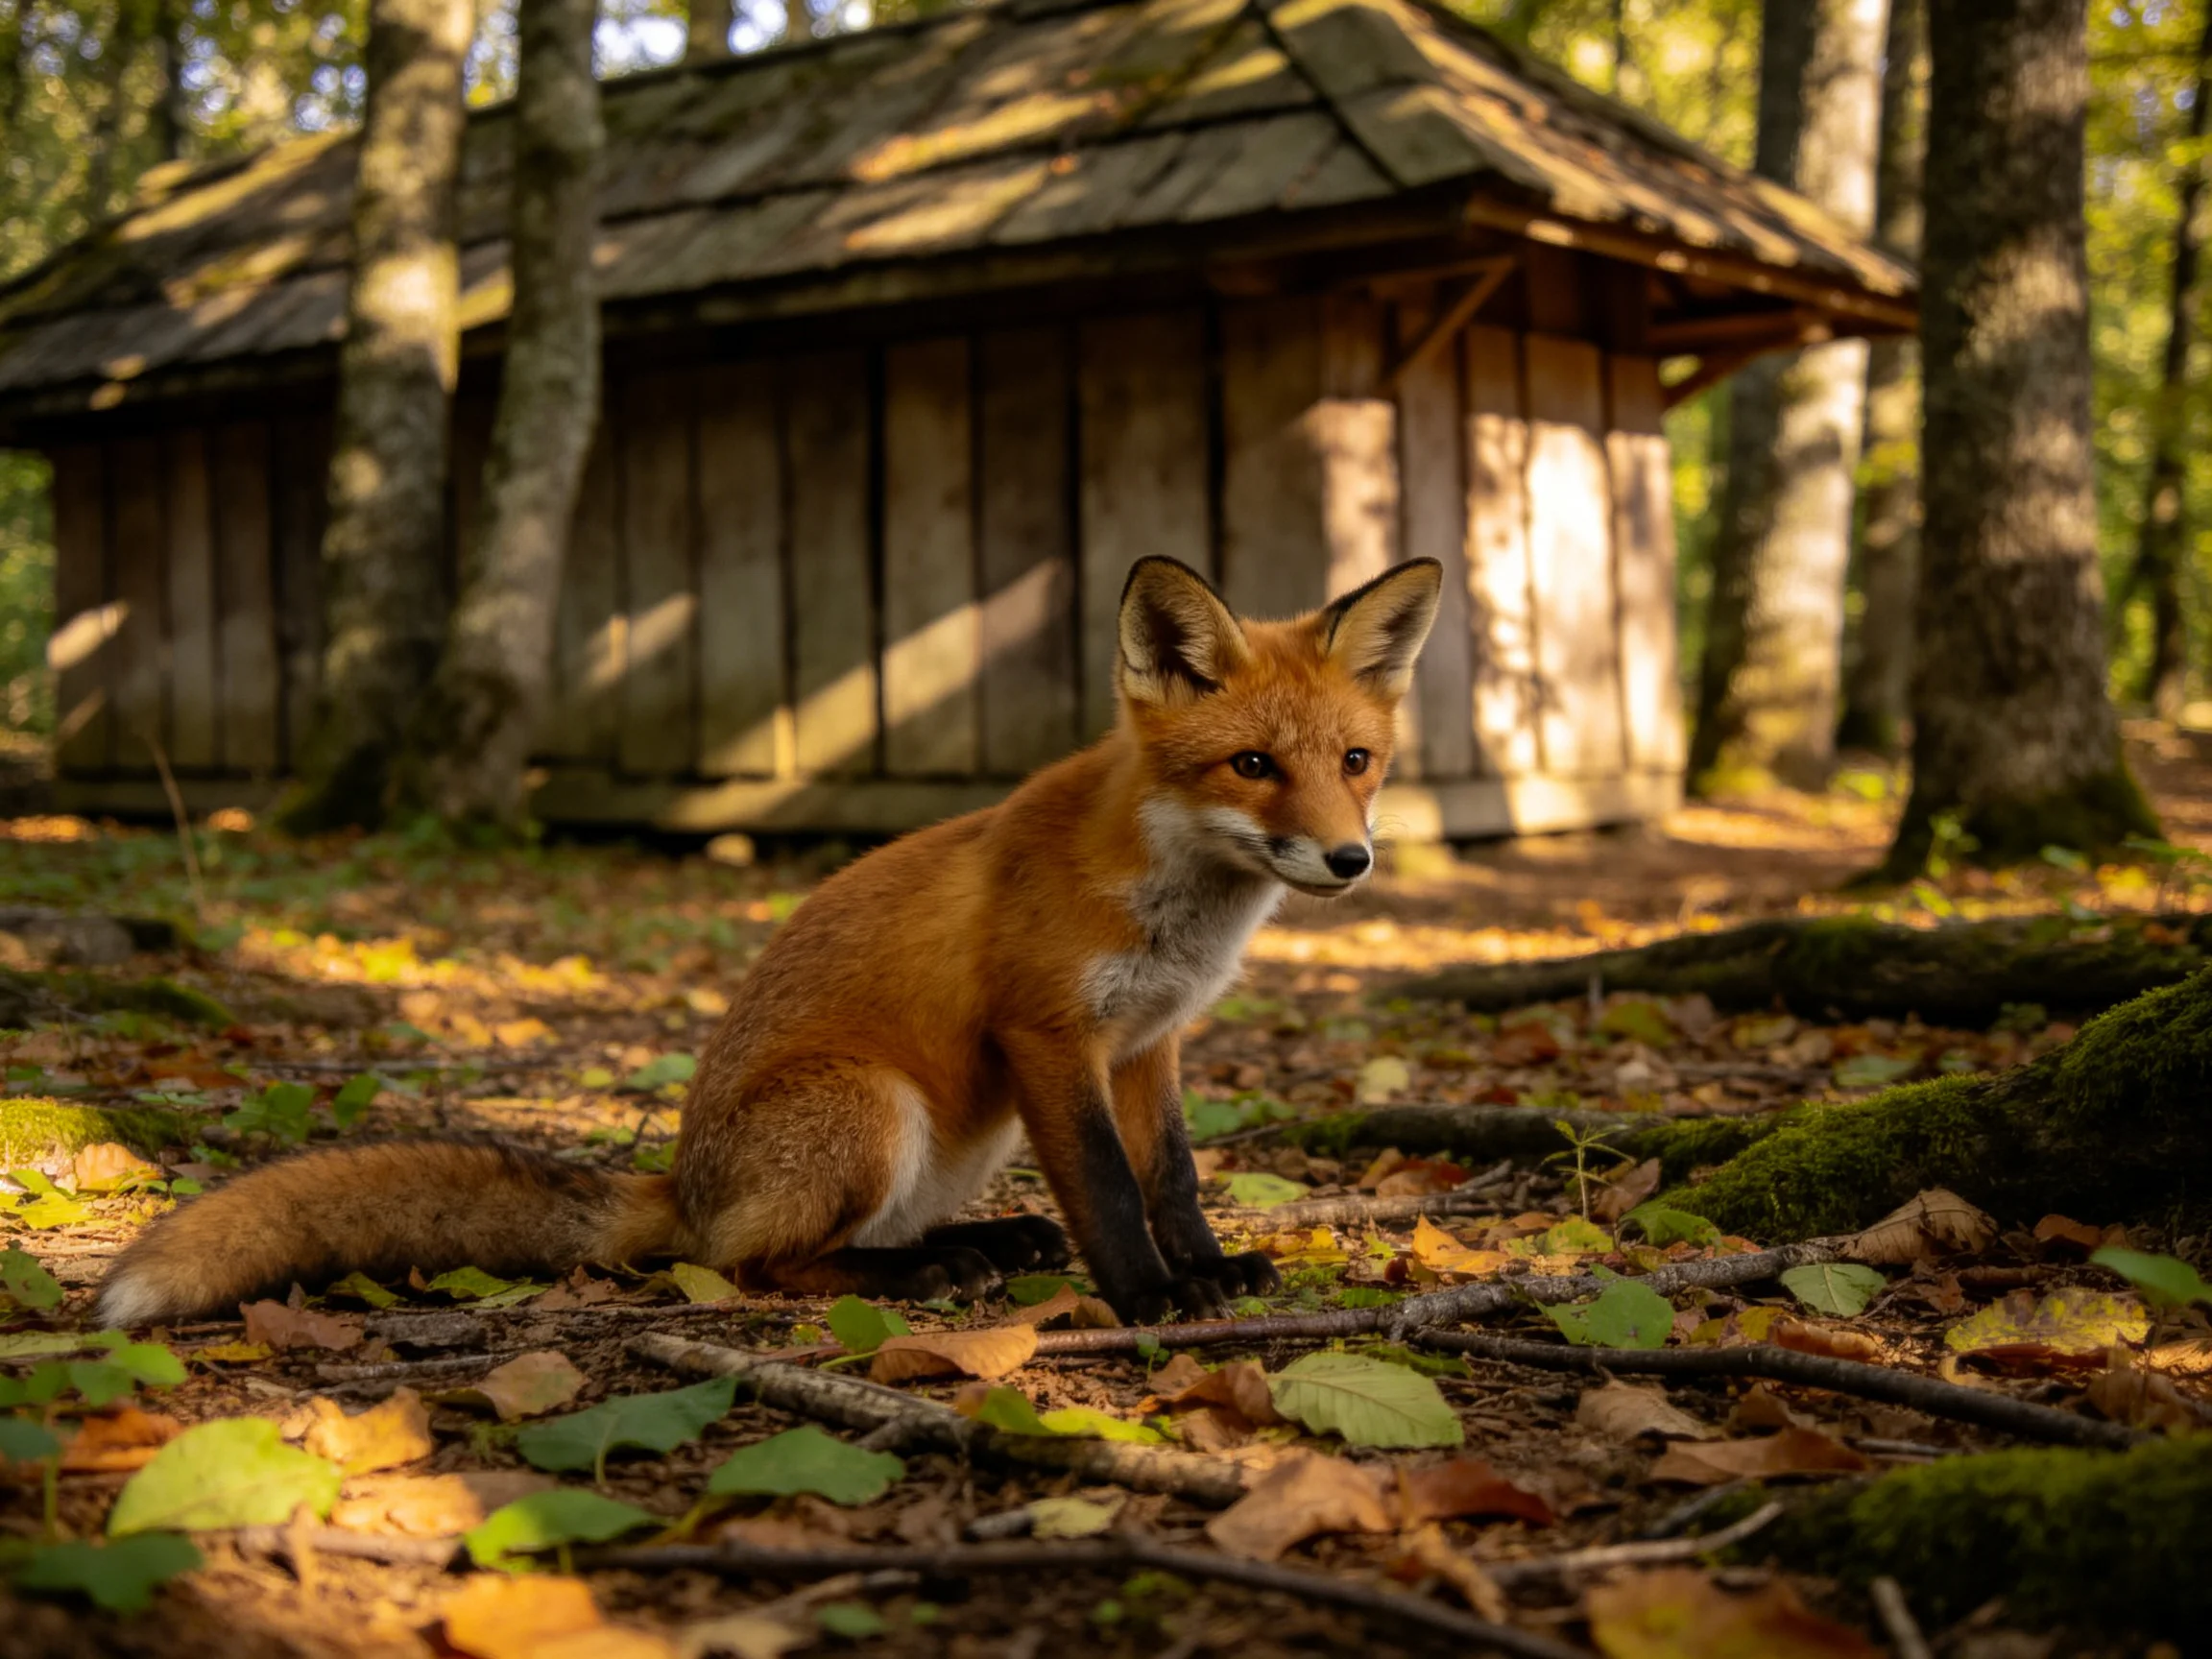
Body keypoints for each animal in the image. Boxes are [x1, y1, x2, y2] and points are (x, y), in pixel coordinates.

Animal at [97, 554, 1443, 1328]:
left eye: (1356, 762)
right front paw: (1151, 1301)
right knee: (754, 1264)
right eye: (1253, 766)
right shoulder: (1049, 1035)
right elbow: (1111, 1190)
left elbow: (1173, 1179)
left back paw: (975, 1248)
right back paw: (922, 1278)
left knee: (848, 1239)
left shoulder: (1148, 1044)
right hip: (869, 1105)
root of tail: (681, 1184)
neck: (1175, 905)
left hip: (953, 1139)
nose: (1351, 861)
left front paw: (1206, 1271)